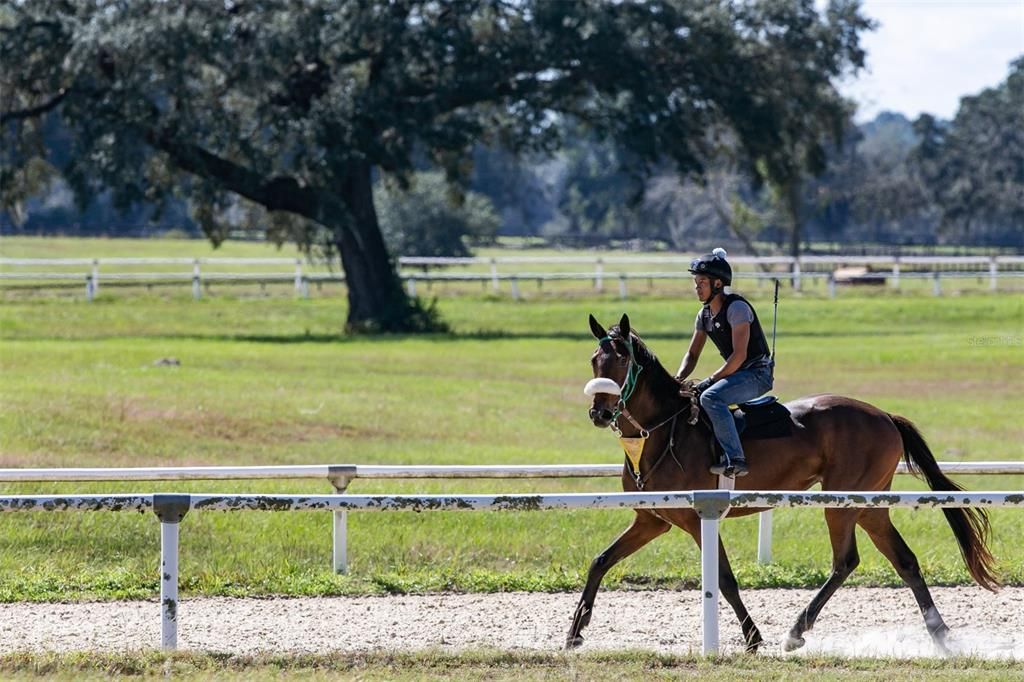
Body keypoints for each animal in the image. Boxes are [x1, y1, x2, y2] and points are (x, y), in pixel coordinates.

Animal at [565, 313, 995, 655]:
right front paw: (574, 632)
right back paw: (940, 635)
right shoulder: (652, 519)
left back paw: (796, 631)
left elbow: (724, 579)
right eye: (594, 360)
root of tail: (885, 416)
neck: (663, 432)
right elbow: (600, 561)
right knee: (902, 560)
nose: (599, 412)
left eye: (622, 359)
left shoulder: (697, 517)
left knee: (846, 560)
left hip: (842, 501)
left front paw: (753, 638)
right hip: (869, 504)